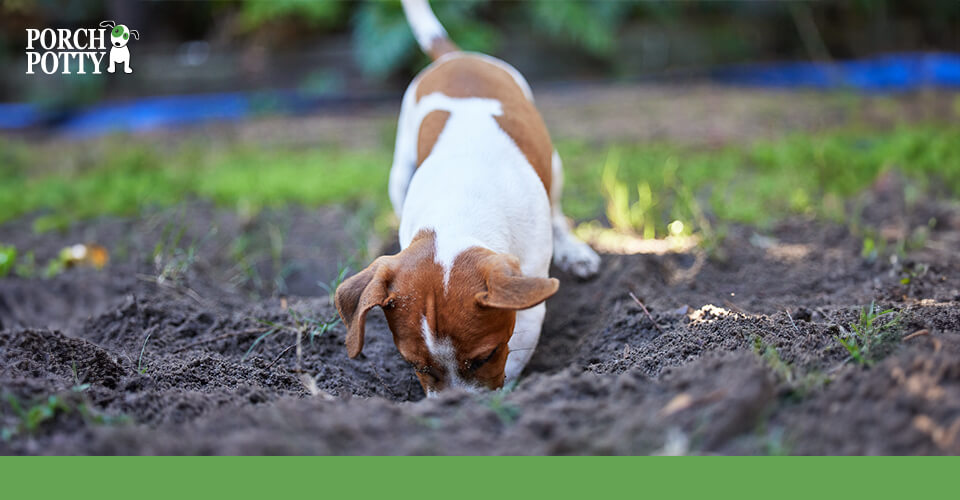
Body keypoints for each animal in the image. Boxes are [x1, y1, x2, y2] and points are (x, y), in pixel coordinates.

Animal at [334, 0, 596, 398]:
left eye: (486, 357)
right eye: (416, 366)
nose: (454, 406)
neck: (457, 209)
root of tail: (456, 56)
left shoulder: (528, 307)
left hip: (554, 164)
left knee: (557, 210)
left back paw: (575, 250)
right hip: (399, 173)